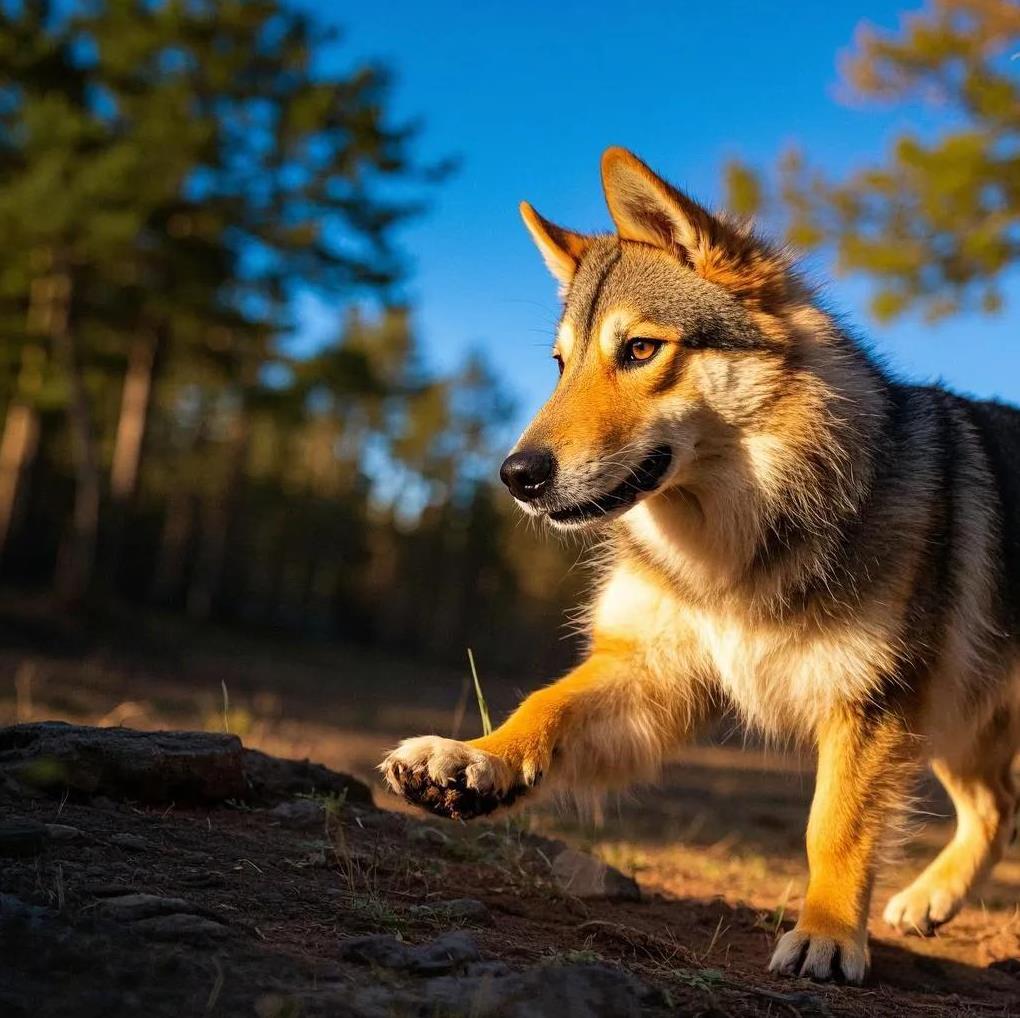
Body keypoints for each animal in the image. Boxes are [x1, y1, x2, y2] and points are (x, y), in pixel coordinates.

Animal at [383, 147, 1020, 983]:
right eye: (560, 364)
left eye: (640, 350)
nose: (515, 476)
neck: (733, 548)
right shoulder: (653, 674)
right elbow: (542, 707)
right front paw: (472, 762)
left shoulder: (870, 706)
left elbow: (834, 828)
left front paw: (826, 933)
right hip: (956, 725)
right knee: (998, 806)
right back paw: (930, 899)